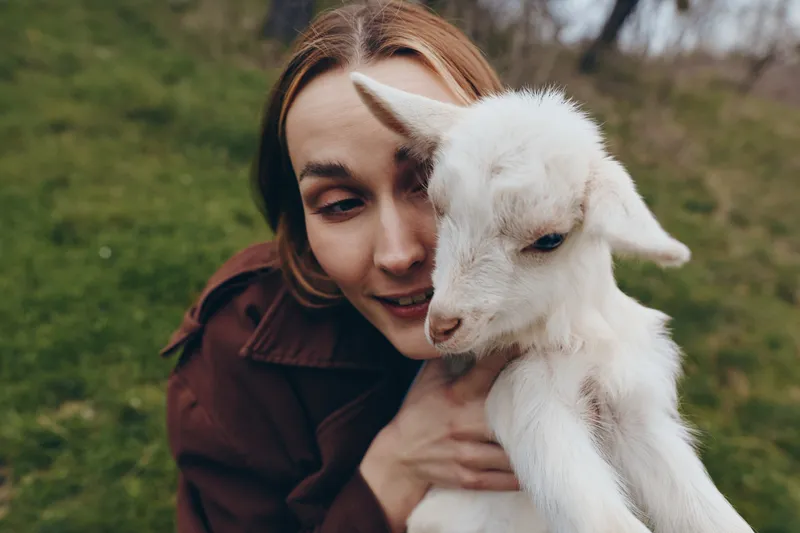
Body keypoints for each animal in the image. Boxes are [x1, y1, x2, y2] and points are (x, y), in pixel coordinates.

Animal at [350, 72, 756, 533]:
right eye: (437, 205)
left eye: (549, 239)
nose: (441, 326)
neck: (570, 337)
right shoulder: (528, 401)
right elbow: (607, 521)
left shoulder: (632, 405)